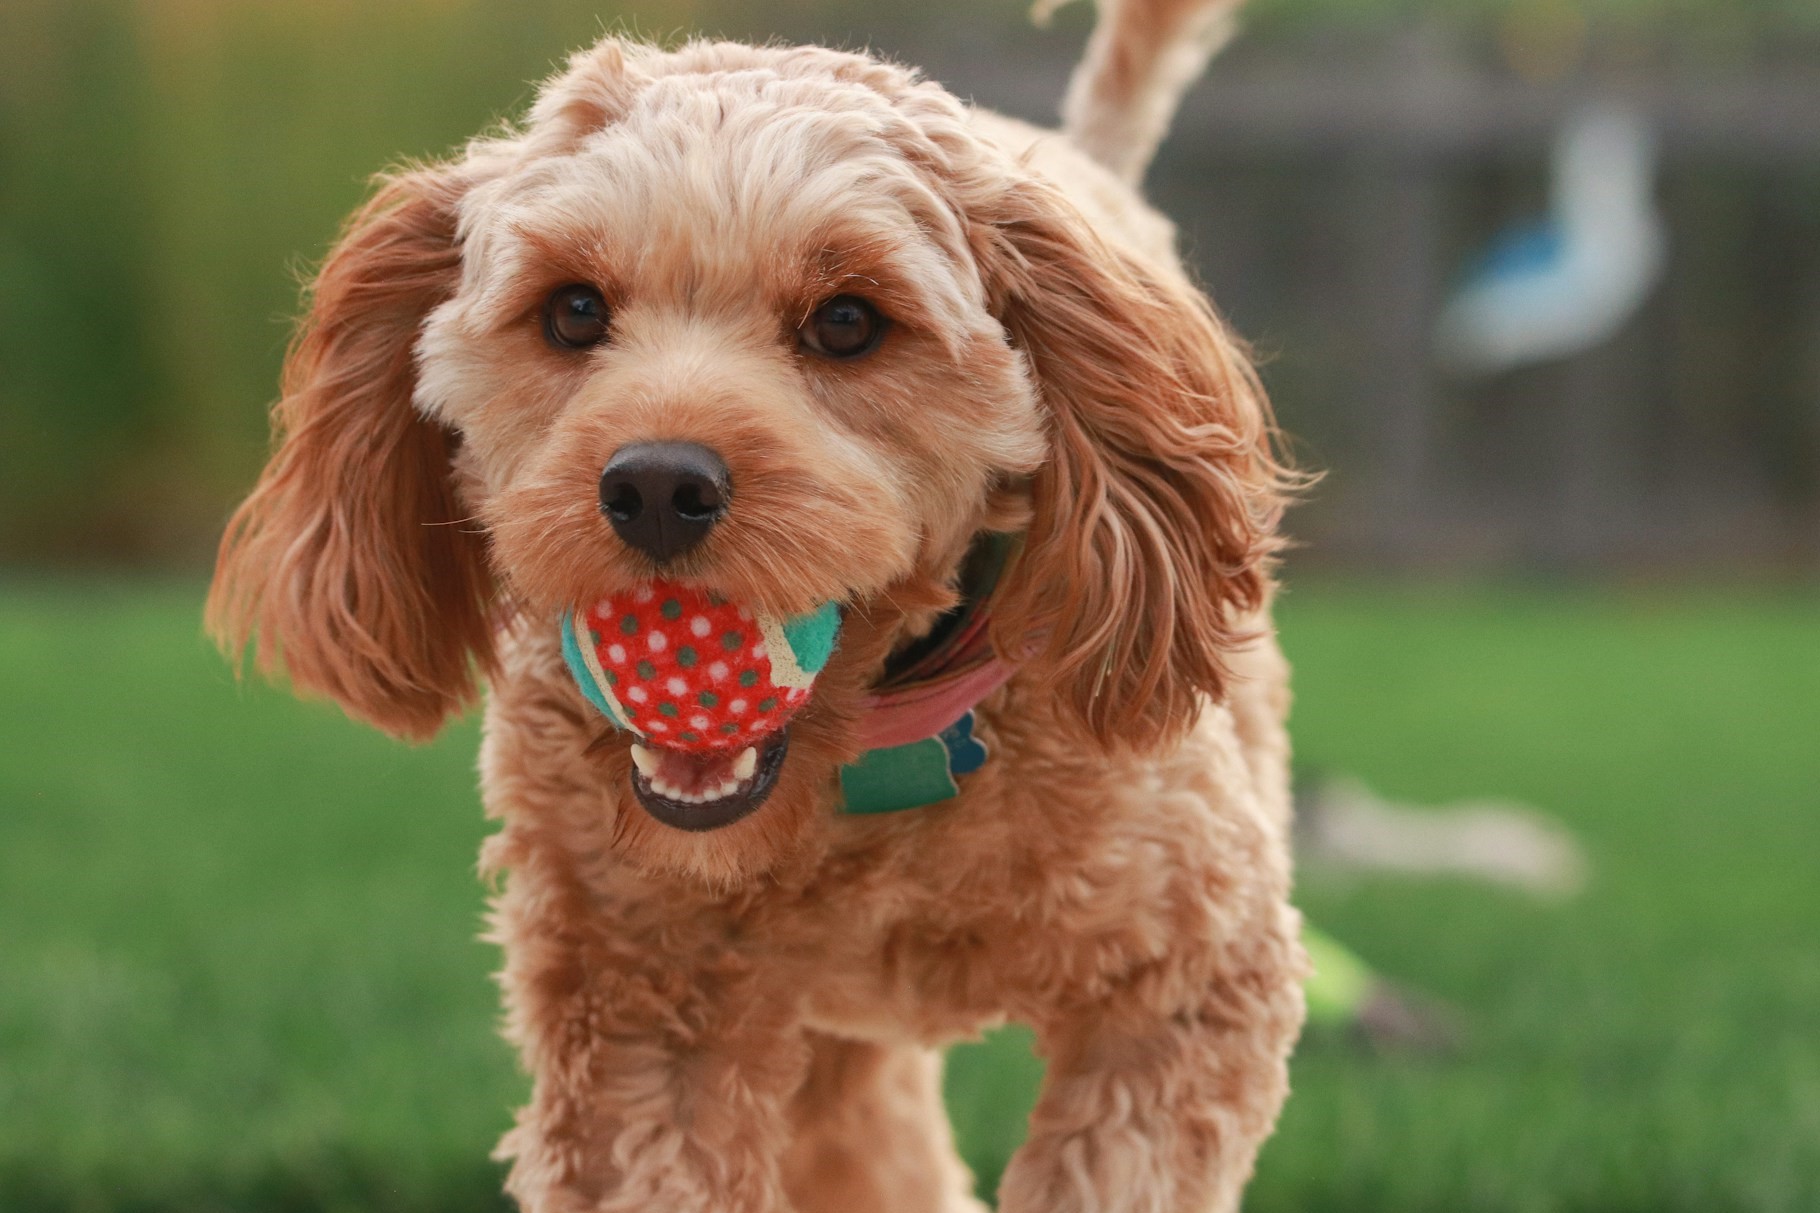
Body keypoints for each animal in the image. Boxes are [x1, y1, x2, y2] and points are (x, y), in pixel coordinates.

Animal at [209, 4, 1310, 1202]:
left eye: (846, 322)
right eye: (573, 310)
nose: (655, 487)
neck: (874, 767)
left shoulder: (1192, 980)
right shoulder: (643, 1021)